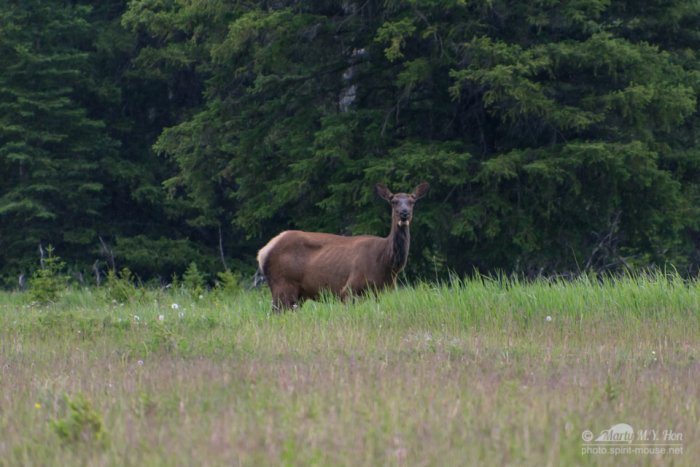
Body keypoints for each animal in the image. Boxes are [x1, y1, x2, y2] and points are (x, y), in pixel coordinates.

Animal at [256, 182, 429, 311]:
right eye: (393, 201)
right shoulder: (349, 289)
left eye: (412, 201)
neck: (386, 263)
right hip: (283, 285)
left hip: (297, 295)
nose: (404, 213)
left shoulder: (382, 291)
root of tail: (262, 252)